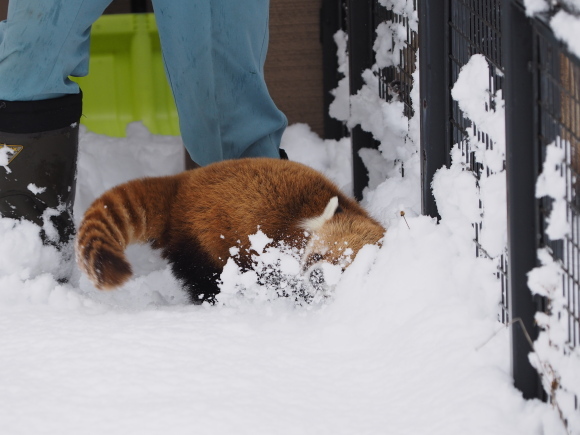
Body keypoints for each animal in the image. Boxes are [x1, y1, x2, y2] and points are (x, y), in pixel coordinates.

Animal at [76, 158, 386, 304]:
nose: (318, 277)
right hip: (202, 241)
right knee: (206, 280)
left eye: (345, 268)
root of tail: (182, 182)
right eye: (317, 256)